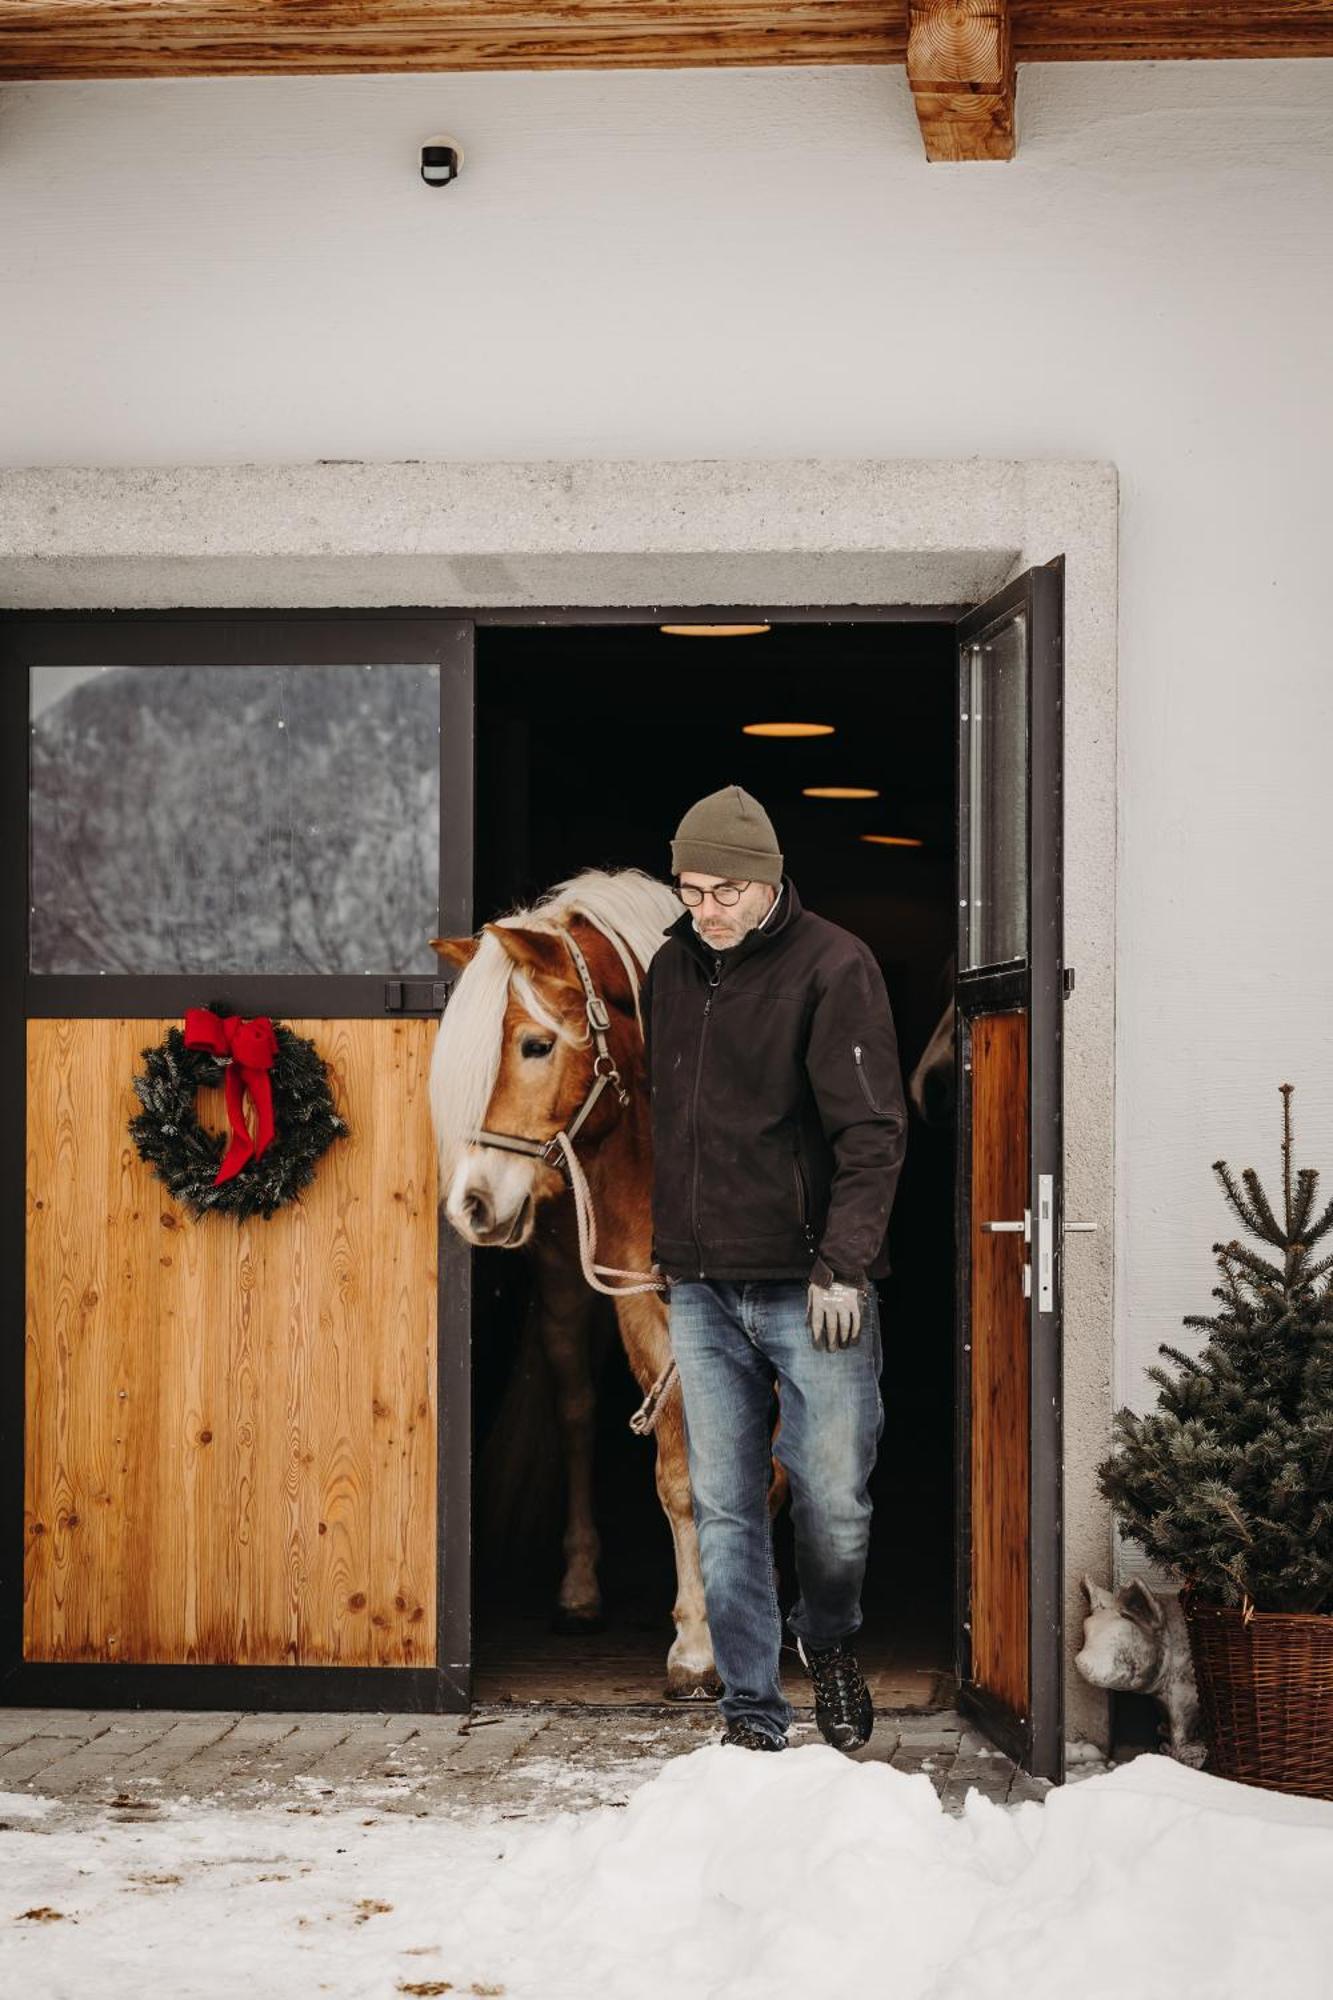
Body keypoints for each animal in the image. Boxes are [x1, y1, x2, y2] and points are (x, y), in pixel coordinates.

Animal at [426, 868, 784, 1696]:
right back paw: (579, 1591)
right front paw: (697, 1646)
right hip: (565, 1297)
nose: (471, 1204)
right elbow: (681, 1473)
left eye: (534, 1044)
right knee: (577, 1416)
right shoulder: (645, 1307)